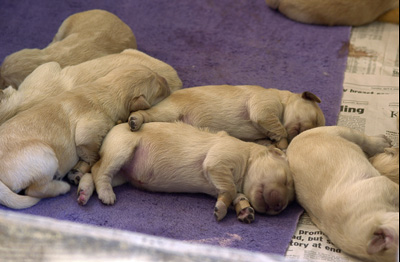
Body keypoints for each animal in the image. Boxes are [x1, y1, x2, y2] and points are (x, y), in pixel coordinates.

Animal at [0, 64, 170, 210]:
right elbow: (93, 154)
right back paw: (62, 187)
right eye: (159, 89)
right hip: (45, 156)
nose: (166, 80)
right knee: (35, 190)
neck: (105, 90)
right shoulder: (87, 134)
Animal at [79, 121, 294, 223]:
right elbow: (230, 189)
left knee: (94, 173)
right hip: (122, 149)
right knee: (99, 170)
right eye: (286, 180)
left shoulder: (222, 182)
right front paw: (222, 210)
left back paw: (84, 192)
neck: (248, 158)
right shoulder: (219, 160)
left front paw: (244, 211)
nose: (279, 207)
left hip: (122, 174)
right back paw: (106, 194)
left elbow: (235, 194)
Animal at [128, 85, 324, 148]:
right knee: (143, 114)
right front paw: (282, 140)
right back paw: (135, 120)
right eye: (314, 119)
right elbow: (279, 128)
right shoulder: (264, 108)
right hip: (167, 112)